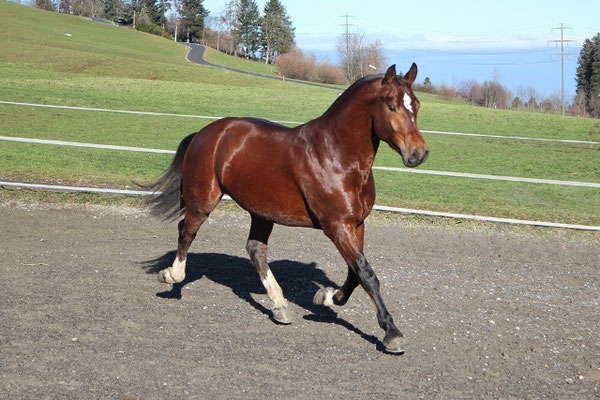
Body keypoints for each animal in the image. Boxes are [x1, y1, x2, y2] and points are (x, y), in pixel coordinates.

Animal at [149, 63, 432, 354]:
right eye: (391, 106)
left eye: (417, 104)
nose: (418, 153)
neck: (337, 156)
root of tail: (205, 133)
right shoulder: (337, 226)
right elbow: (367, 274)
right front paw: (392, 333)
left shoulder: (357, 224)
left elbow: (355, 274)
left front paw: (326, 296)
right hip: (203, 201)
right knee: (187, 231)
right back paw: (171, 276)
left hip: (262, 211)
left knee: (255, 249)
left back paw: (280, 306)